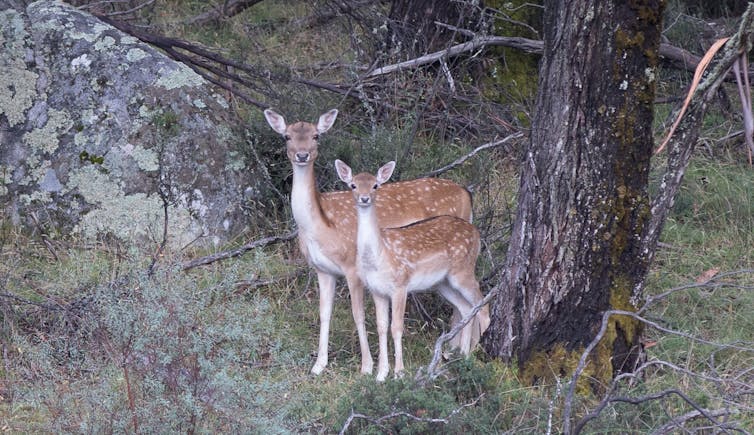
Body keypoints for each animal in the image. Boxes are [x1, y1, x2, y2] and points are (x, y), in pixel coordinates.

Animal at [334, 159, 490, 381]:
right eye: (353, 185)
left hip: (464, 270)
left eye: (375, 185)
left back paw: (477, 353)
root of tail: (477, 233)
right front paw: (381, 374)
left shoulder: (401, 284)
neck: (379, 256)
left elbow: (397, 327)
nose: (364, 198)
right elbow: (382, 327)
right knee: (467, 308)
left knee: (483, 305)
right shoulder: (377, 290)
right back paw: (463, 355)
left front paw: (399, 372)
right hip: (442, 283)